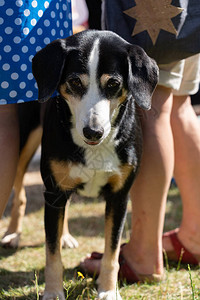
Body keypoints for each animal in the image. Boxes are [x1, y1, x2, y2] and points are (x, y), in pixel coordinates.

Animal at [32, 31, 159, 300]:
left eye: (112, 84)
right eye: (74, 82)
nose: (93, 131)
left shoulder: (119, 197)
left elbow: (111, 253)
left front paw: (108, 291)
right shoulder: (54, 192)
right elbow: (52, 253)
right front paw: (53, 292)